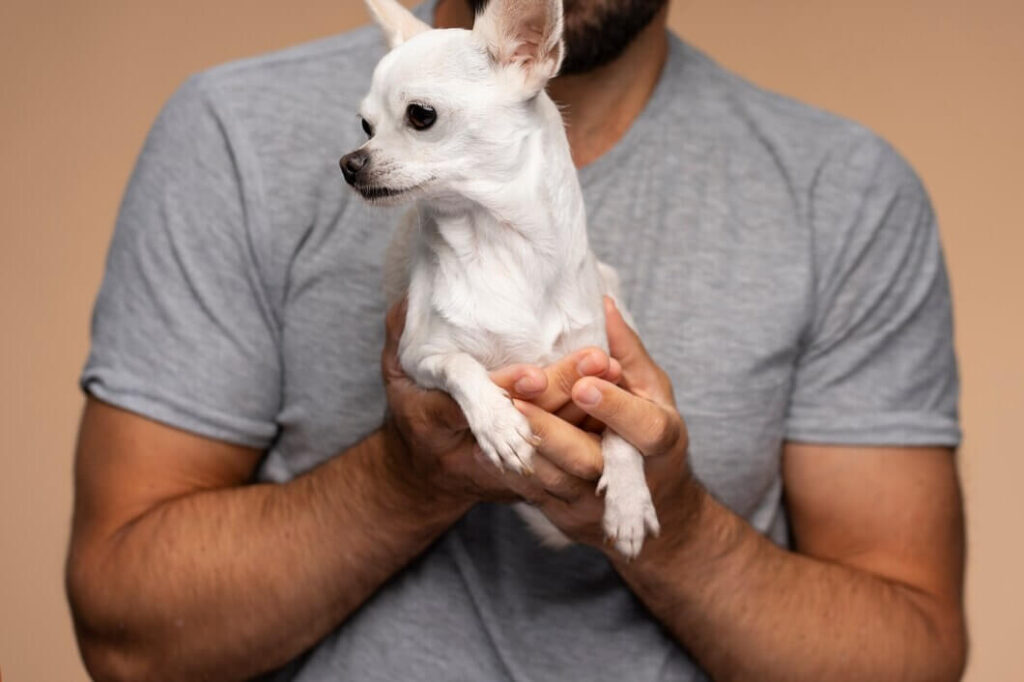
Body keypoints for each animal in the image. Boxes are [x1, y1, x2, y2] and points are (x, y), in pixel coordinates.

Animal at [339, 0, 659, 557]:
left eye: (420, 115)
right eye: (365, 124)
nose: (349, 163)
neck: (502, 245)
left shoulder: (602, 367)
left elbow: (622, 425)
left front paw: (628, 496)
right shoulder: (418, 356)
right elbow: (461, 366)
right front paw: (498, 422)